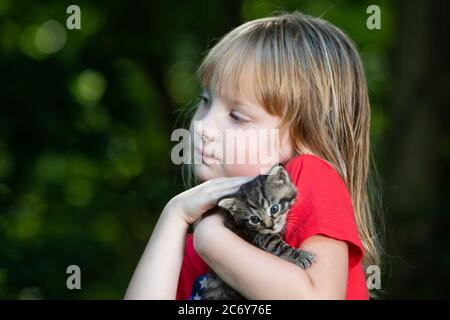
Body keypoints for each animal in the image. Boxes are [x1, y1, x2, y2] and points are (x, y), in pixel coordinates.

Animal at [202, 164, 314, 302]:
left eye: (274, 208)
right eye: (254, 219)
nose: (270, 226)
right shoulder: (262, 237)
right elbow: (278, 246)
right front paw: (299, 256)